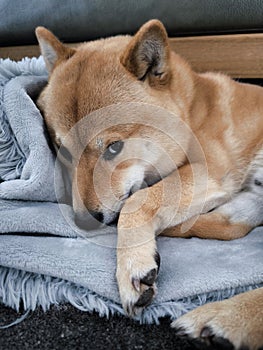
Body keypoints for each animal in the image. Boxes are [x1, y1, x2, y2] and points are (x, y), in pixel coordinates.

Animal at [35, 20, 263, 348]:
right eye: (63, 151)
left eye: (114, 148)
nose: (83, 221)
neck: (191, 113)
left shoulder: (207, 170)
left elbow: (136, 203)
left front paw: (133, 263)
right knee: (232, 226)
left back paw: (224, 320)